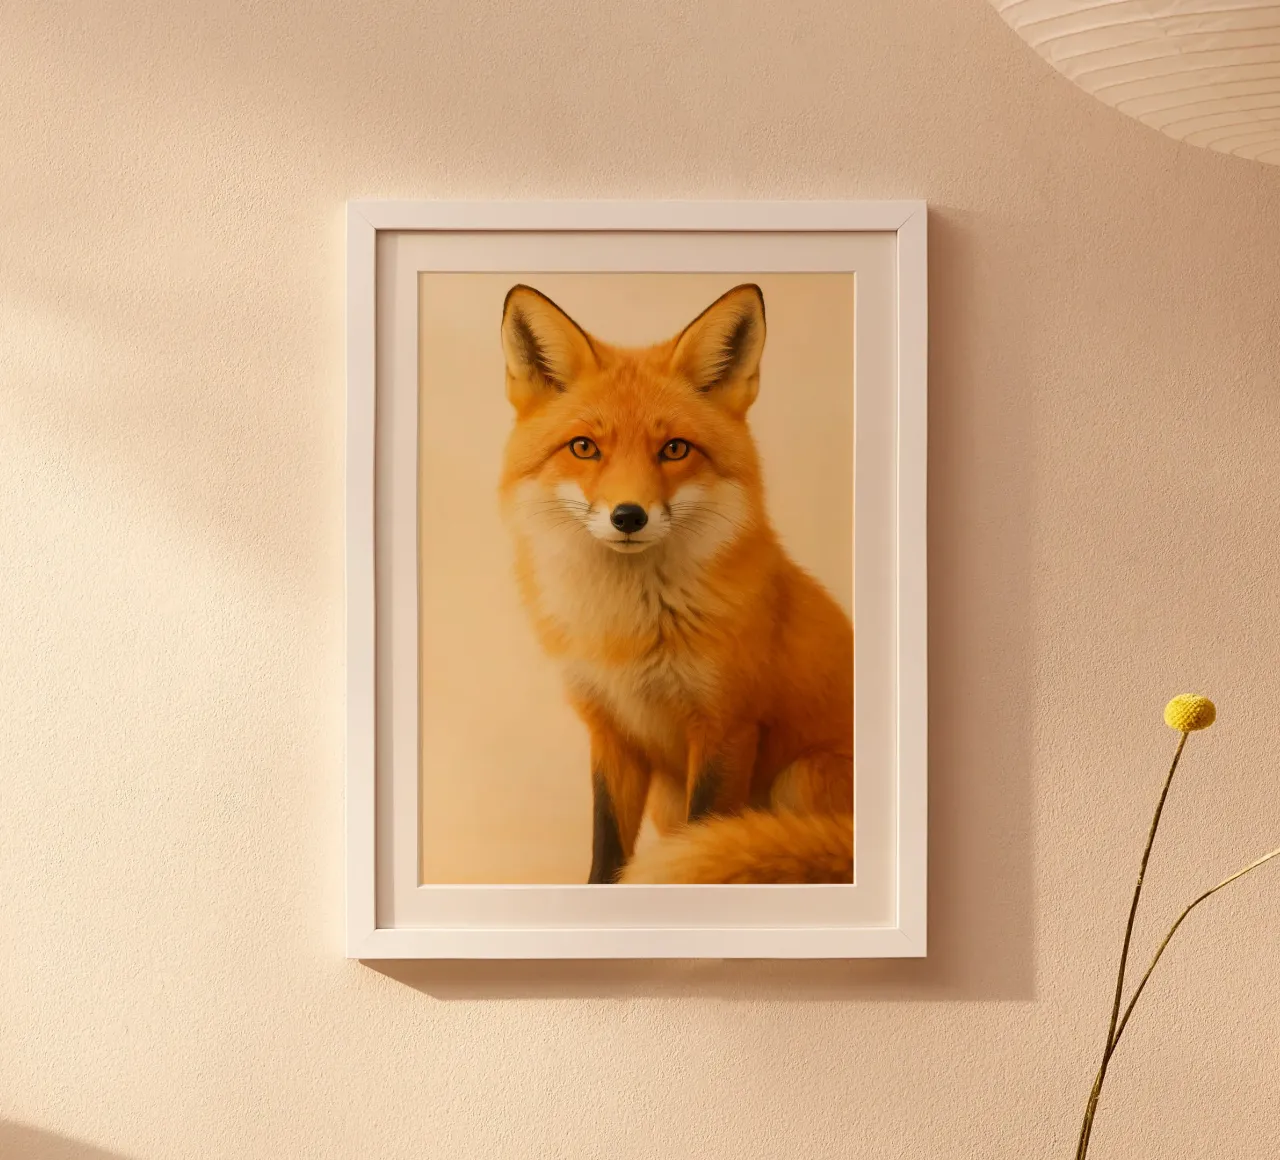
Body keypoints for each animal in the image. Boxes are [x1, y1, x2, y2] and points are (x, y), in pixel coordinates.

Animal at [497, 281, 853, 885]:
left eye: (675, 449)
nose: (628, 516)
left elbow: (705, 833)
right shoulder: (610, 733)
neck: (628, 629)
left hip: (800, 777)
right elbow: (607, 848)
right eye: (585, 447)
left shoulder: (726, 727)